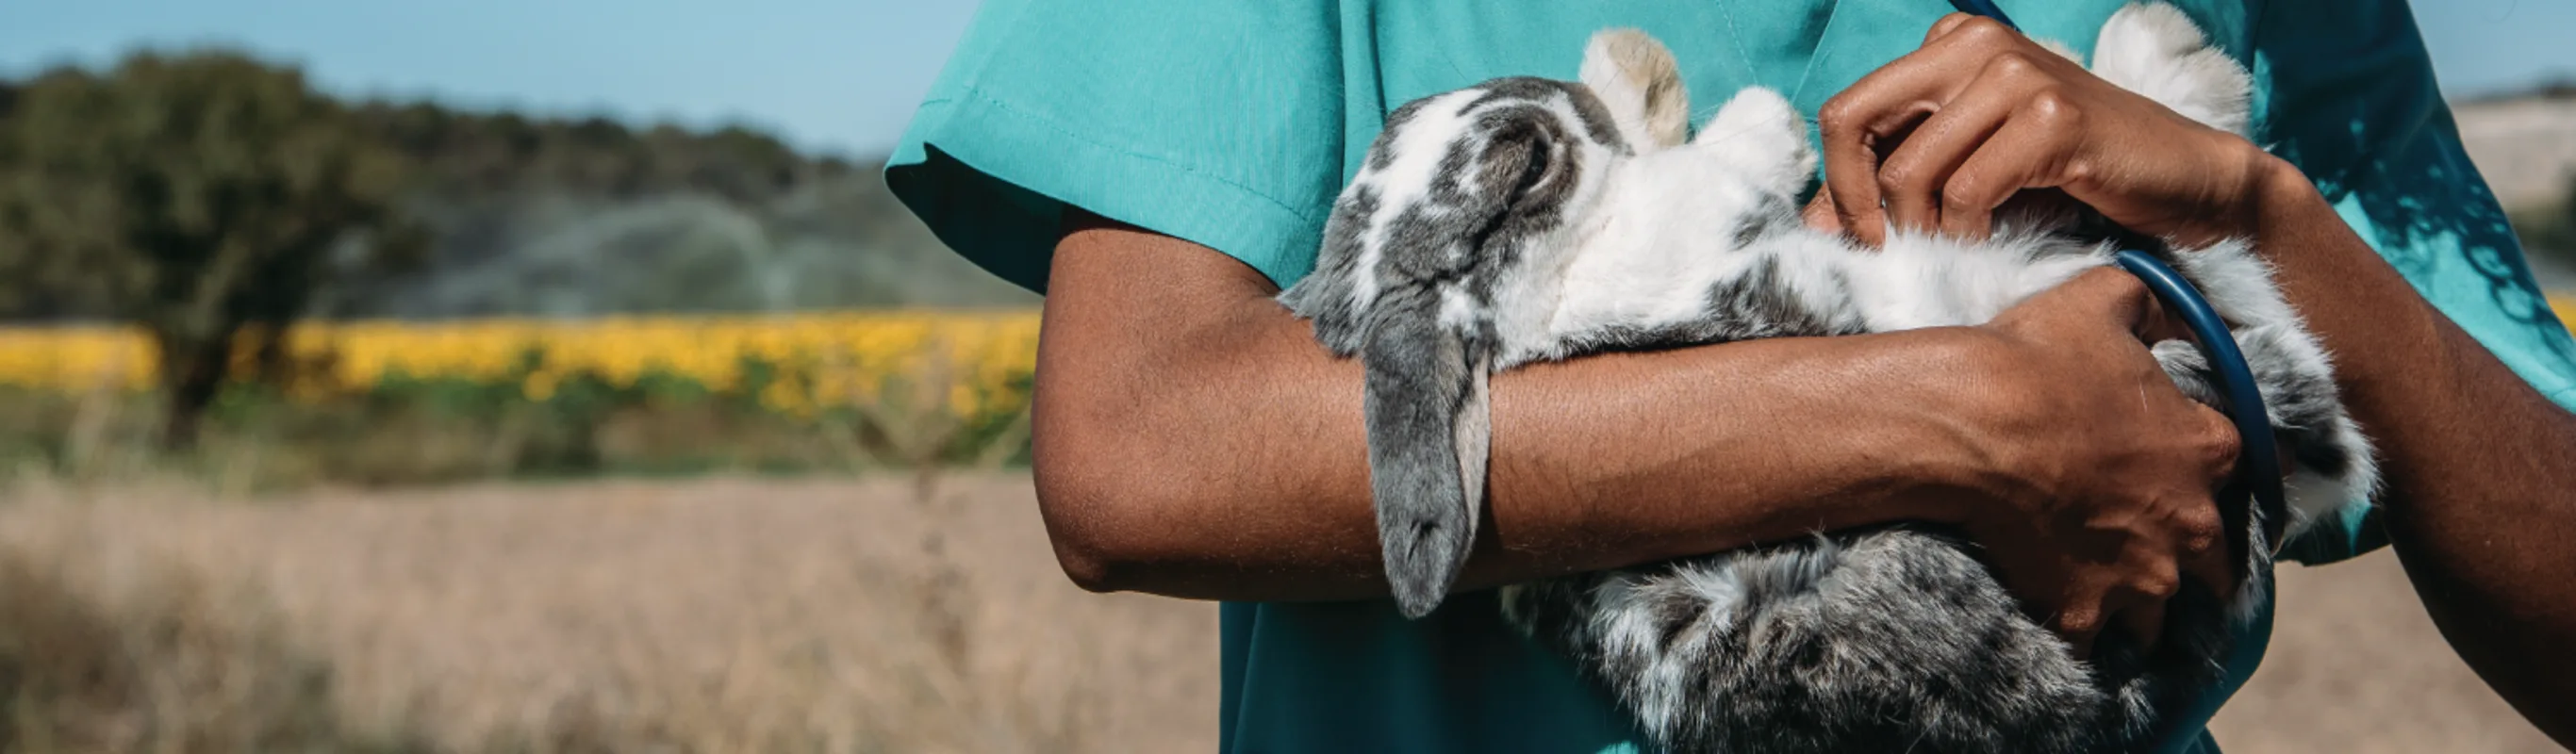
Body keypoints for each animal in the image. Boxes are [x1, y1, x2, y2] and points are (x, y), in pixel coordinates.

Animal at [1278, 6, 2380, 751]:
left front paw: (1629, 65)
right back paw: (2170, 50)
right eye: (1524, 163)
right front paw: (1673, 82)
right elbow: (1728, 153)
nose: (1569, 97)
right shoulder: (1706, 219)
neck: (1543, 301)